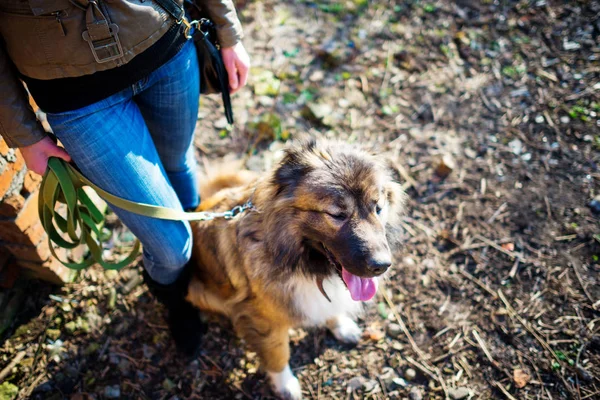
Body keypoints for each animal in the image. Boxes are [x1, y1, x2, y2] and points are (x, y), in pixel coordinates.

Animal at [185, 139, 406, 398]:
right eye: (336, 214)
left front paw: (341, 326)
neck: (300, 261)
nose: (382, 265)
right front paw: (286, 385)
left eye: (378, 208)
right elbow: (278, 352)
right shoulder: (265, 320)